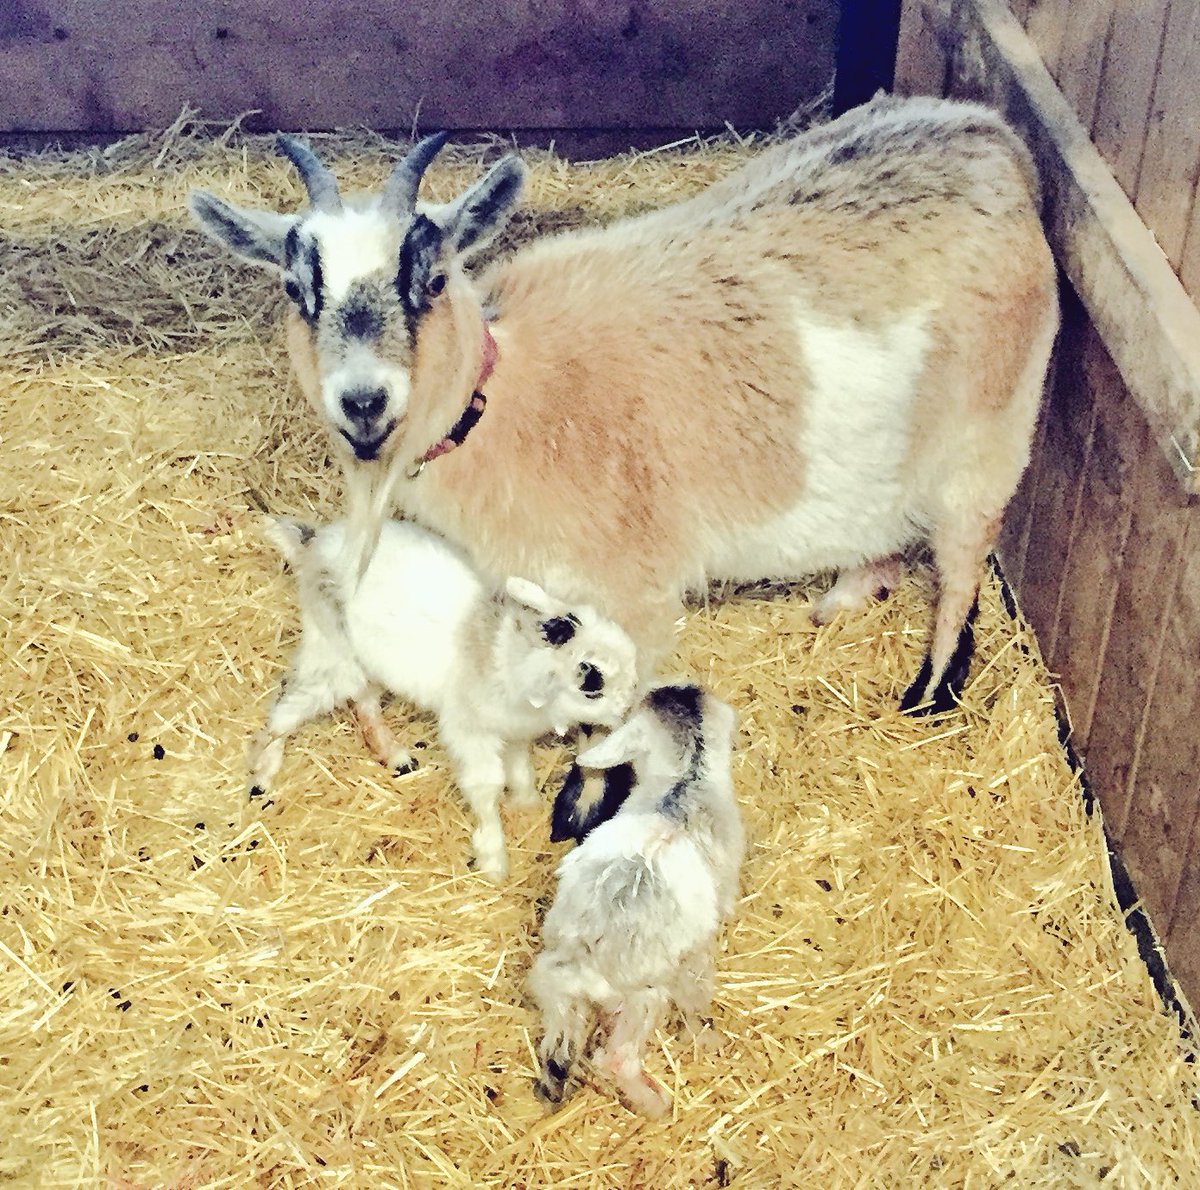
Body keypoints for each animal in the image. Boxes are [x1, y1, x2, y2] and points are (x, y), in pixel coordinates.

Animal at [189, 95, 1058, 713]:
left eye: (431, 279)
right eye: (297, 289)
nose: (365, 401)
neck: (498, 401)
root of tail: (992, 136)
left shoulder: (636, 596)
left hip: (991, 443)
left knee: (961, 566)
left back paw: (929, 693)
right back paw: (847, 592)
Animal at [248, 516, 639, 880]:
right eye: (592, 682)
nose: (631, 698)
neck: (502, 654)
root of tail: (314, 545)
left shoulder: (511, 732)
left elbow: (520, 768)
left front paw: (528, 805)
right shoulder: (471, 734)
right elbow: (486, 786)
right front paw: (493, 860)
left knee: (363, 704)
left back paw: (395, 756)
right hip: (333, 655)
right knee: (287, 704)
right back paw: (263, 774)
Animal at [527, 683, 744, 1117]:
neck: (684, 783)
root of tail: (583, 960)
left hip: (555, 980)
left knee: (560, 1041)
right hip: (645, 995)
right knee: (616, 1058)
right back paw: (656, 1103)